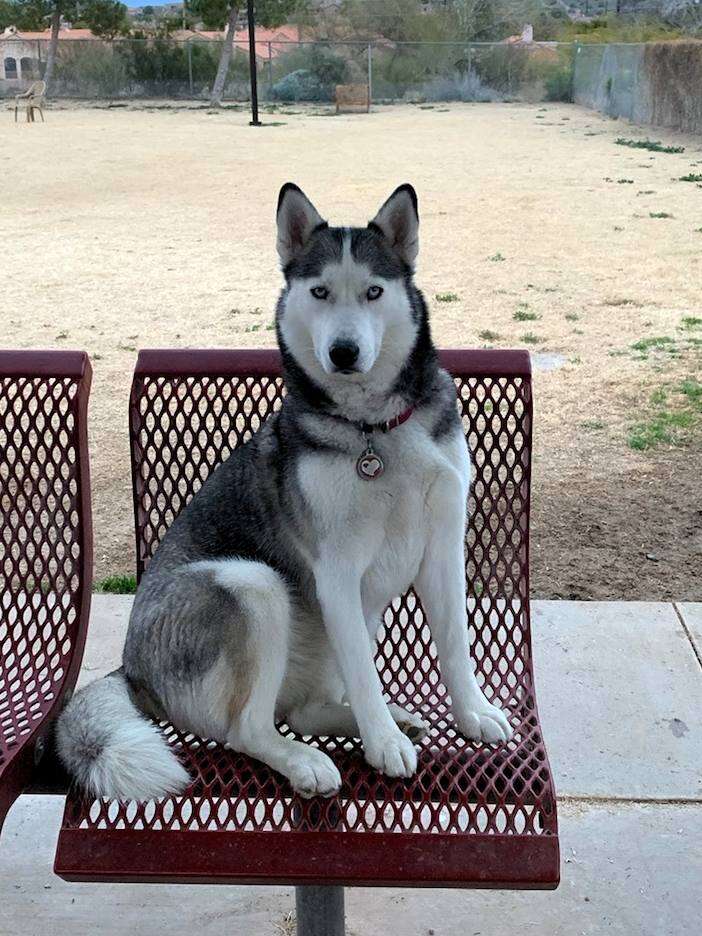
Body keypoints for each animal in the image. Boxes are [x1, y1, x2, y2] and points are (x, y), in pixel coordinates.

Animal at [56, 186, 512, 800]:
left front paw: (471, 715)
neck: (374, 431)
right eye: (320, 292)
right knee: (249, 728)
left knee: (300, 710)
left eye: (374, 291)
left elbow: (457, 648)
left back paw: (374, 719)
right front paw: (384, 744)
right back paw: (308, 759)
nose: (343, 351)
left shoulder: (441, 546)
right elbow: (365, 677)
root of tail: (132, 670)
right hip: (252, 584)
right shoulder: (337, 571)